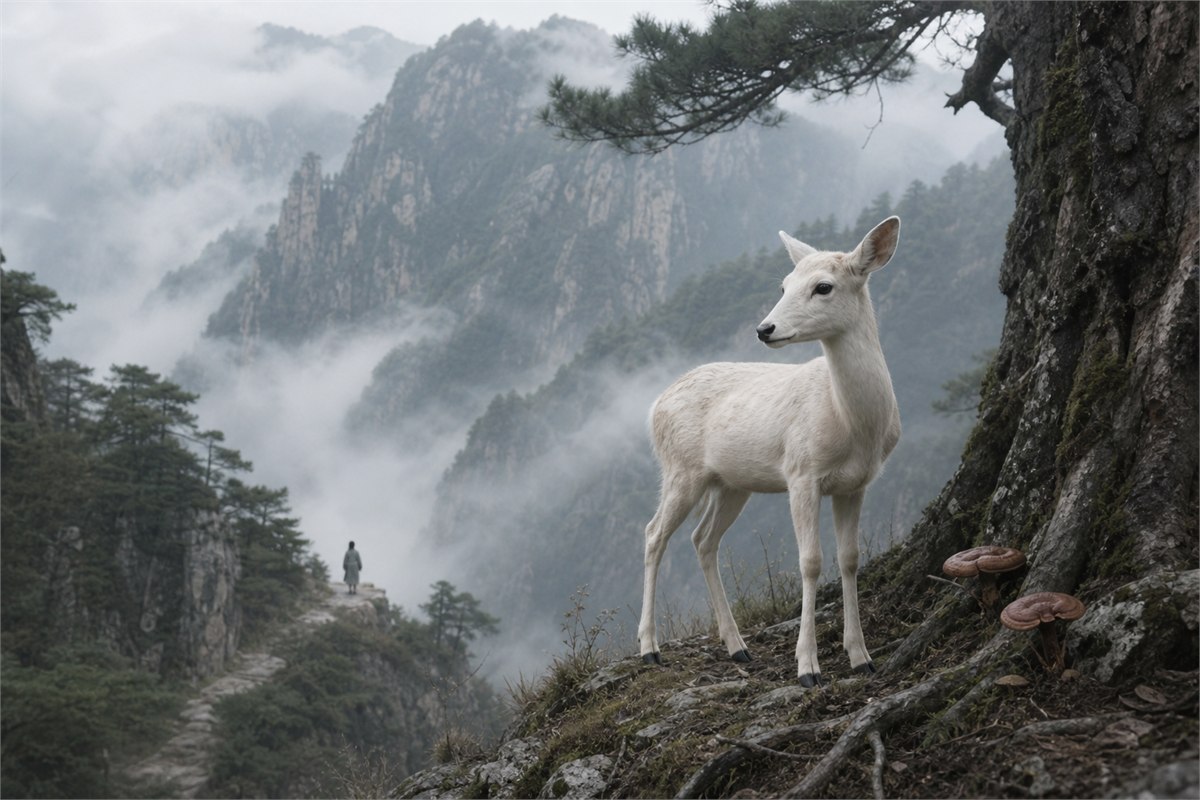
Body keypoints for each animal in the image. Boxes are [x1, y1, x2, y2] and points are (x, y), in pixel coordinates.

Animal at [638, 217, 902, 687]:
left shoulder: (855, 484)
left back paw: (737, 646)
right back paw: (649, 648)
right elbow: (810, 561)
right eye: (783, 284)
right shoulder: (801, 471)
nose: (765, 329)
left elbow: (850, 559)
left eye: (823, 287)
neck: (853, 424)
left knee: (702, 539)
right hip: (680, 469)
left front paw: (861, 655)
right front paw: (807, 667)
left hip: (730, 483)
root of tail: (655, 406)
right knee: (654, 534)